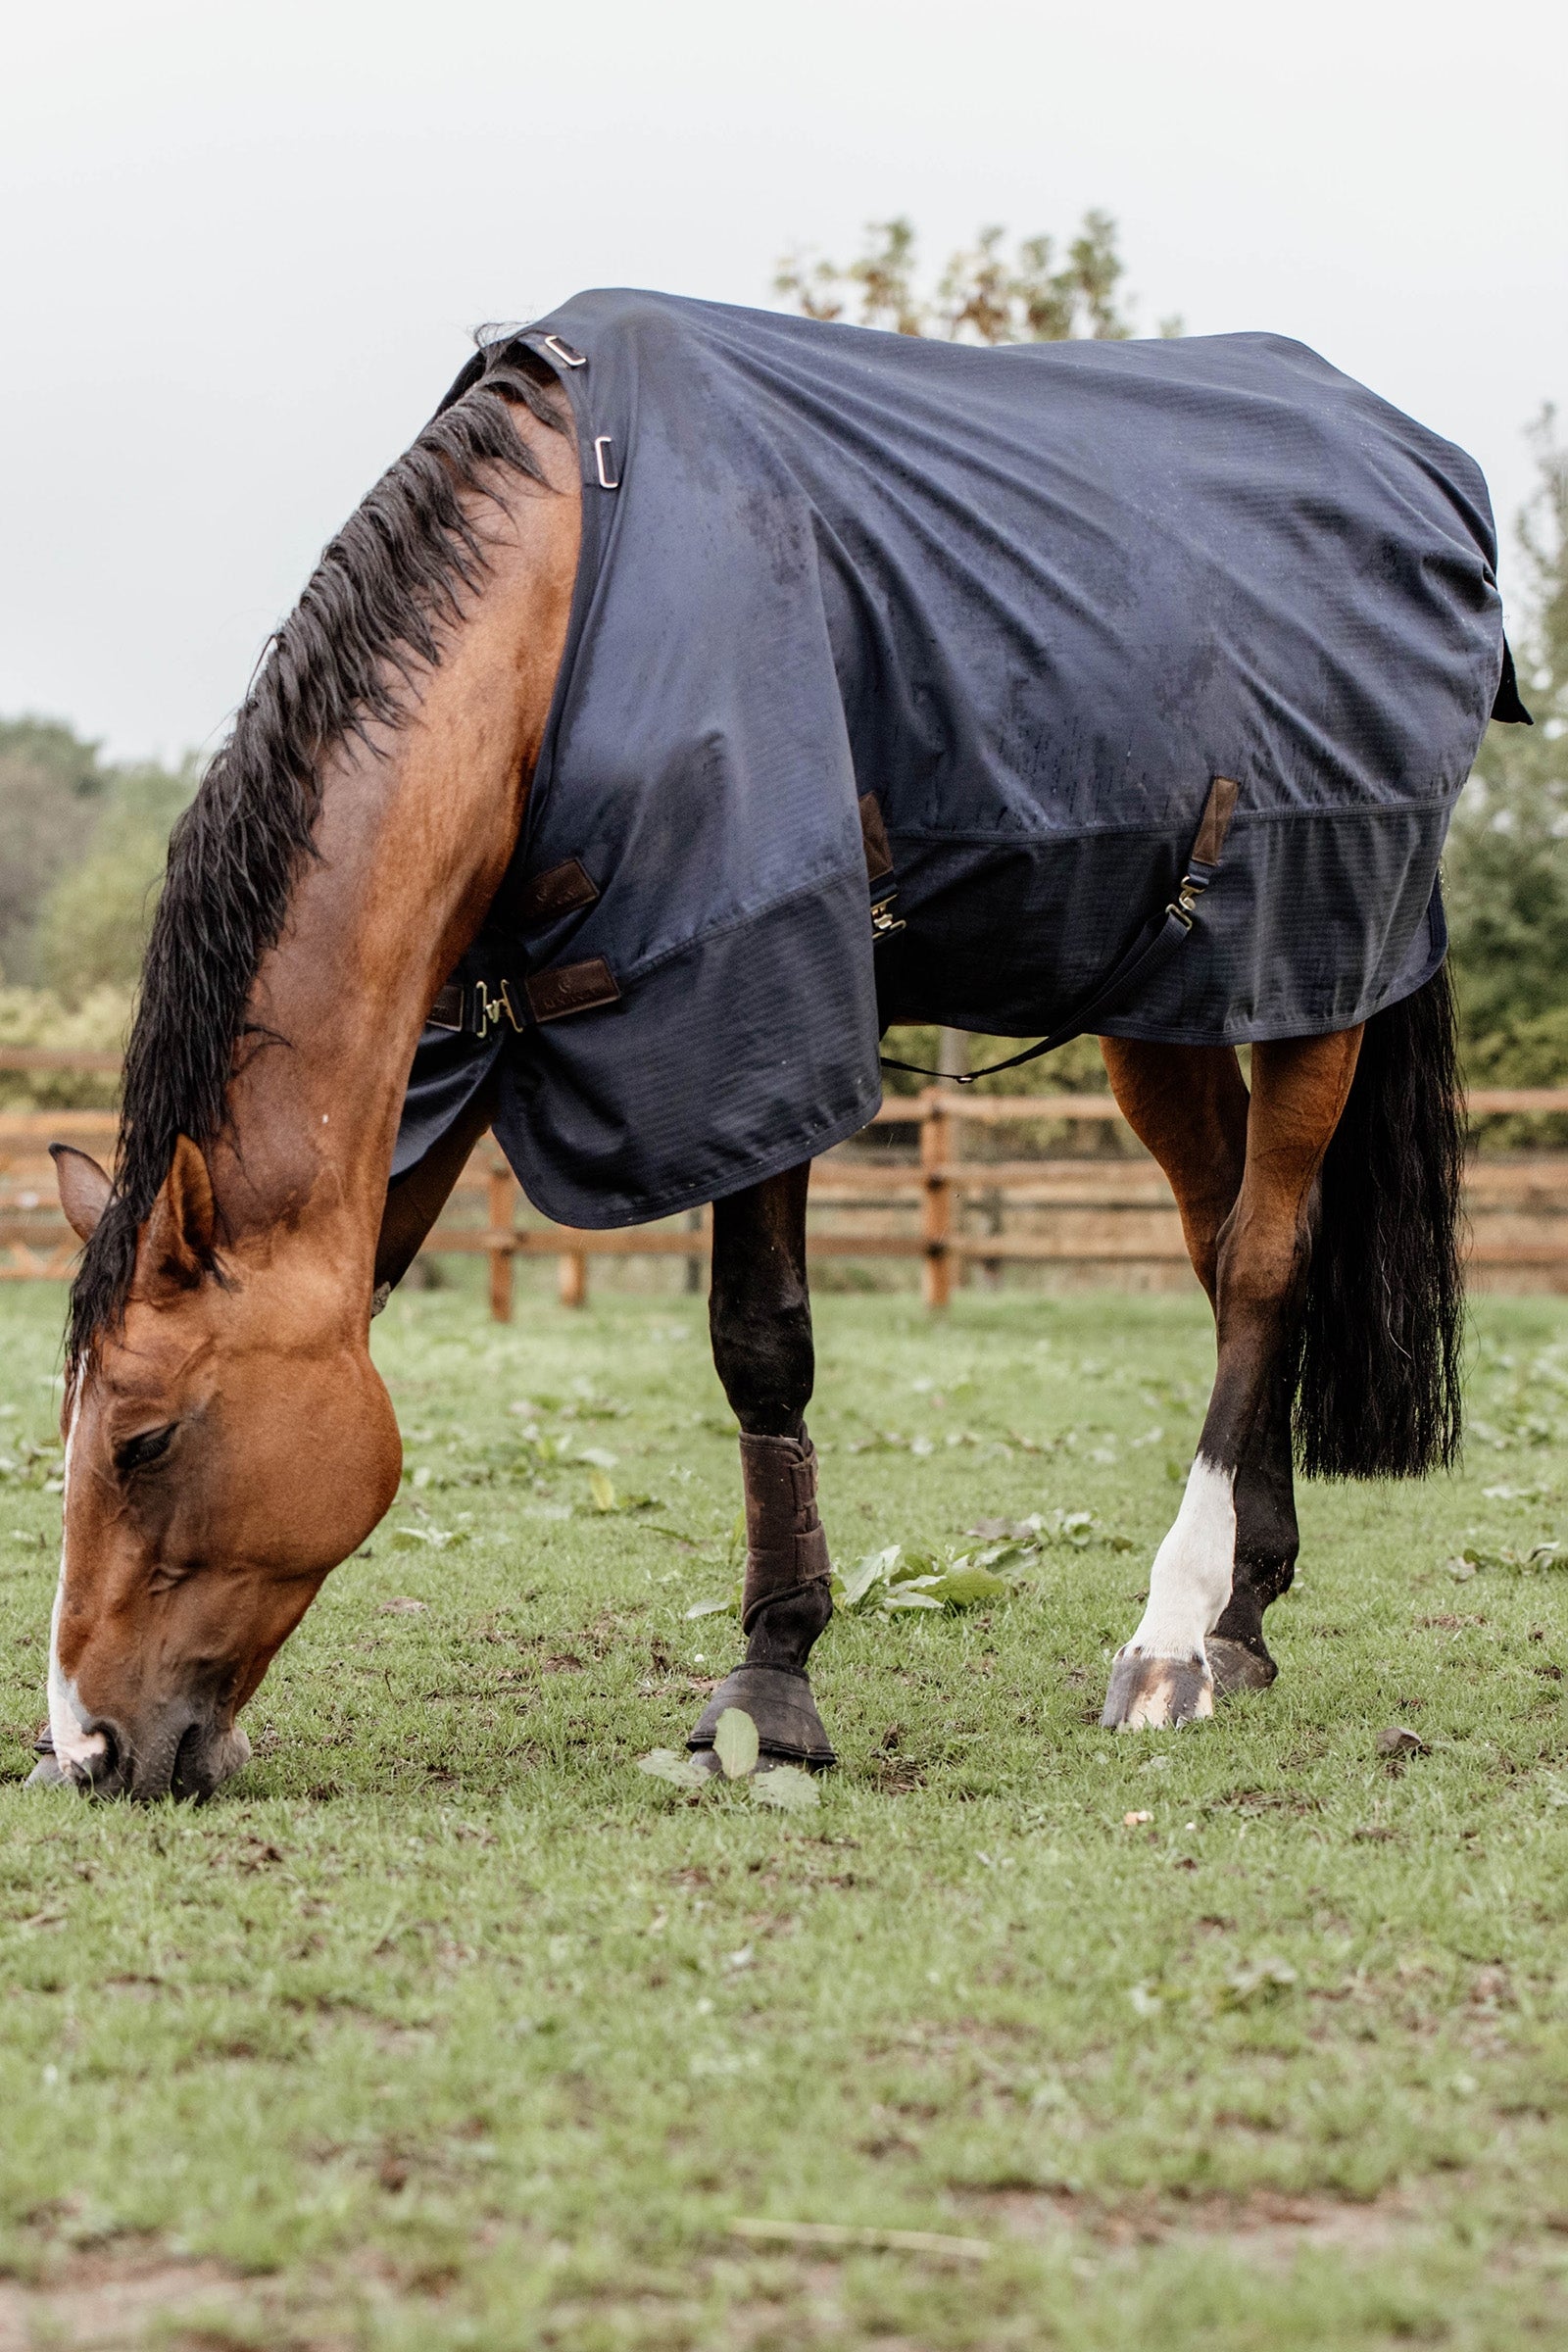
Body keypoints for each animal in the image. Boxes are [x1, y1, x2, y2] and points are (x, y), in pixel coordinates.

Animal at [34, 291, 1521, 1799]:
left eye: (145, 1442)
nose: (88, 1746)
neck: (558, 623)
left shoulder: (753, 1014)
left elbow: (760, 1347)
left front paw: (769, 1687)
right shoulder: (459, 1046)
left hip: (1318, 973)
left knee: (1266, 1265)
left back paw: (1167, 1638)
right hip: (1175, 1009)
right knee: (1223, 1254)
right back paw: (1240, 1615)